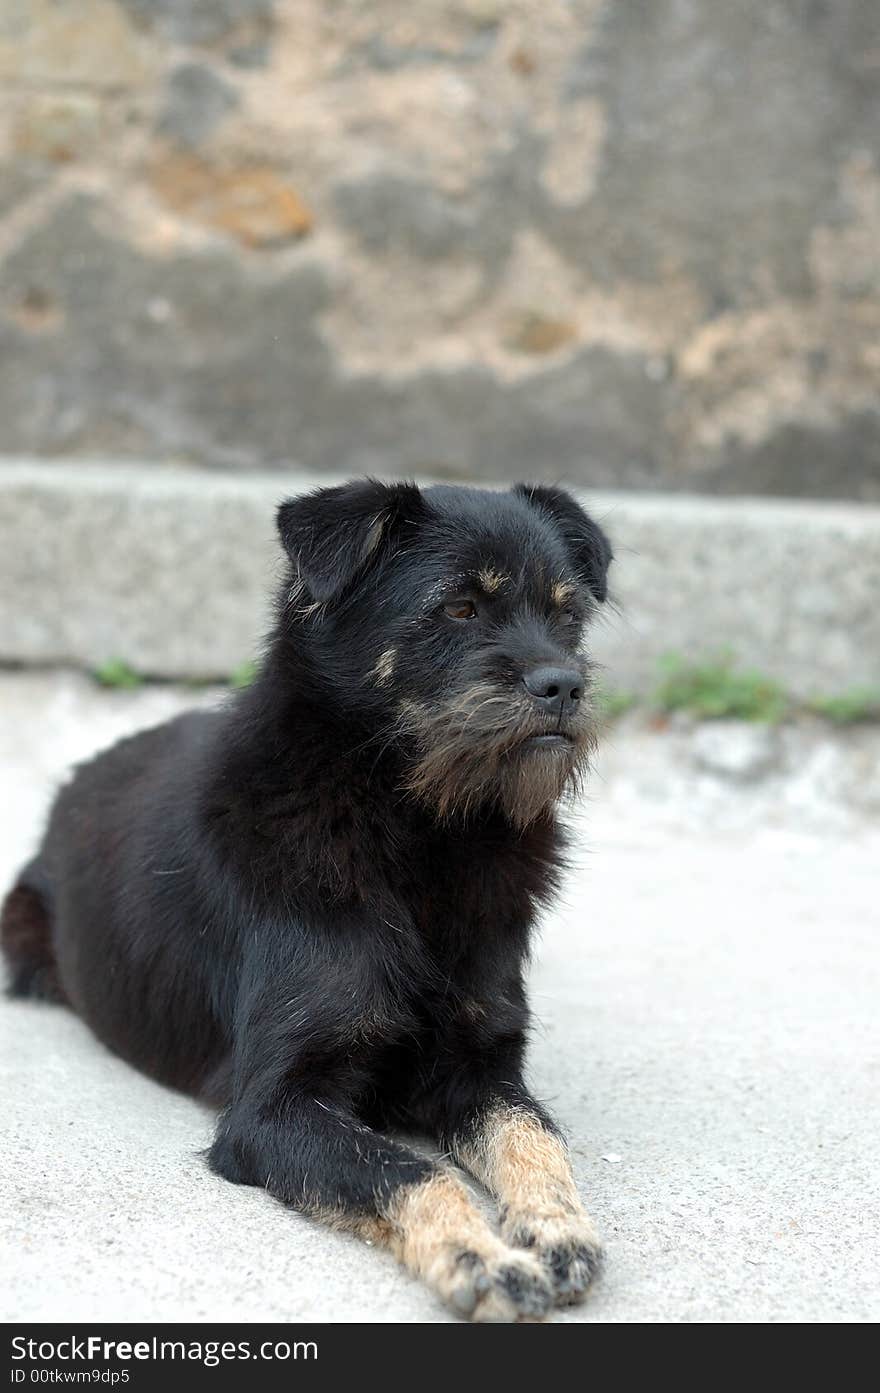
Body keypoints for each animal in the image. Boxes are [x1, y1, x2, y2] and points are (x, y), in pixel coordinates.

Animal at [1, 484, 612, 1320]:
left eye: (567, 612)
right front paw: (482, 1257)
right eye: (457, 606)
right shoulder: (273, 1110)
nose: (565, 685)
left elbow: (534, 1136)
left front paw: (556, 1224)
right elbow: (409, 1169)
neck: (419, 834)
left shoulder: (482, 1068)